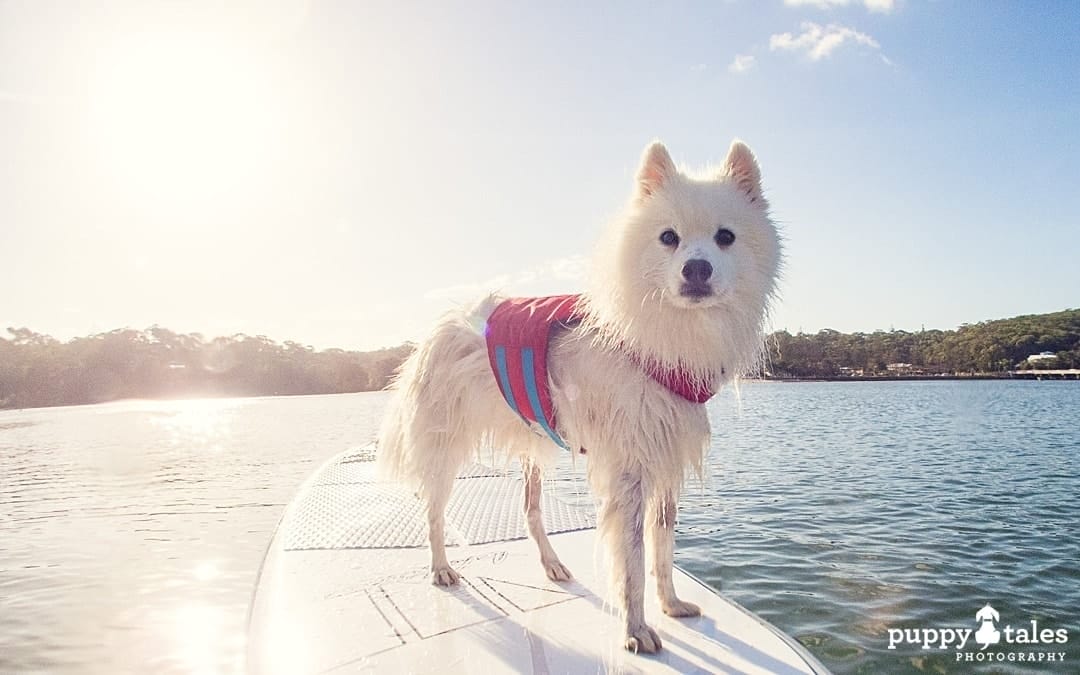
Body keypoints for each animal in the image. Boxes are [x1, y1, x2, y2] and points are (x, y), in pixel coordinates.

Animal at [375, 138, 781, 652]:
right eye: (668, 238)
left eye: (725, 237)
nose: (697, 268)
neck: (663, 335)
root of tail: (447, 321)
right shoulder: (627, 469)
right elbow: (632, 563)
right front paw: (636, 632)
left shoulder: (665, 457)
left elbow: (663, 548)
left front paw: (671, 607)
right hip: (444, 444)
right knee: (433, 510)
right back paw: (442, 569)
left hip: (534, 444)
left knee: (529, 510)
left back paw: (551, 564)